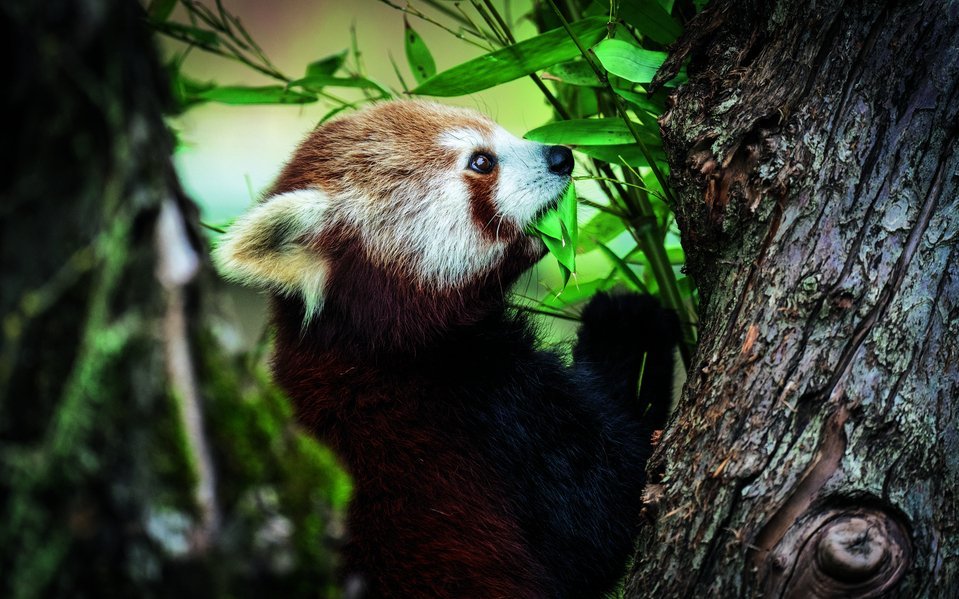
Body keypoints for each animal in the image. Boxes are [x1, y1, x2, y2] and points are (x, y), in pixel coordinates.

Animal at [215, 100, 679, 598]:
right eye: (482, 161)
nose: (561, 155)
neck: (369, 348)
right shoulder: (488, 411)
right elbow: (609, 500)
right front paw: (628, 323)